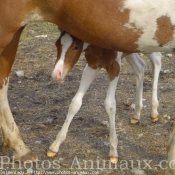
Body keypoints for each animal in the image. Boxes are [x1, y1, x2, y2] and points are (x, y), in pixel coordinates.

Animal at [47, 30, 161, 163]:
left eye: (76, 47)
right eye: (57, 44)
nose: (56, 75)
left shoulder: (115, 67)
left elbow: (110, 104)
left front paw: (113, 151)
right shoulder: (92, 66)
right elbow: (75, 103)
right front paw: (55, 146)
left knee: (157, 59)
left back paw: (154, 112)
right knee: (140, 67)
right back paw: (136, 113)